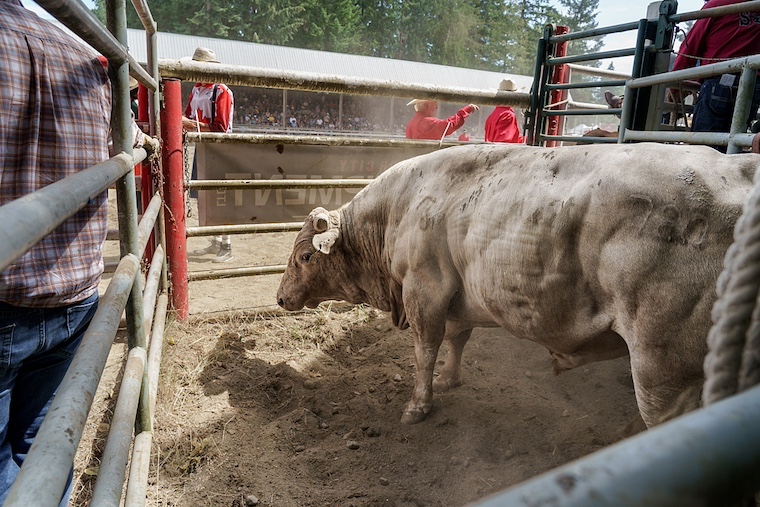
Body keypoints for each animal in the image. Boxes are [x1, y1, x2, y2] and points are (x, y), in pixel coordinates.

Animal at [276, 142, 758, 428]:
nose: (280, 297)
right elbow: (459, 338)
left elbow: (424, 351)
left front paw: (418, 405)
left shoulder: (424, 291)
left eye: (304, 257)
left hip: (663, 371)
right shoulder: (455, 294)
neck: (397, 211)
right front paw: (449, 380)